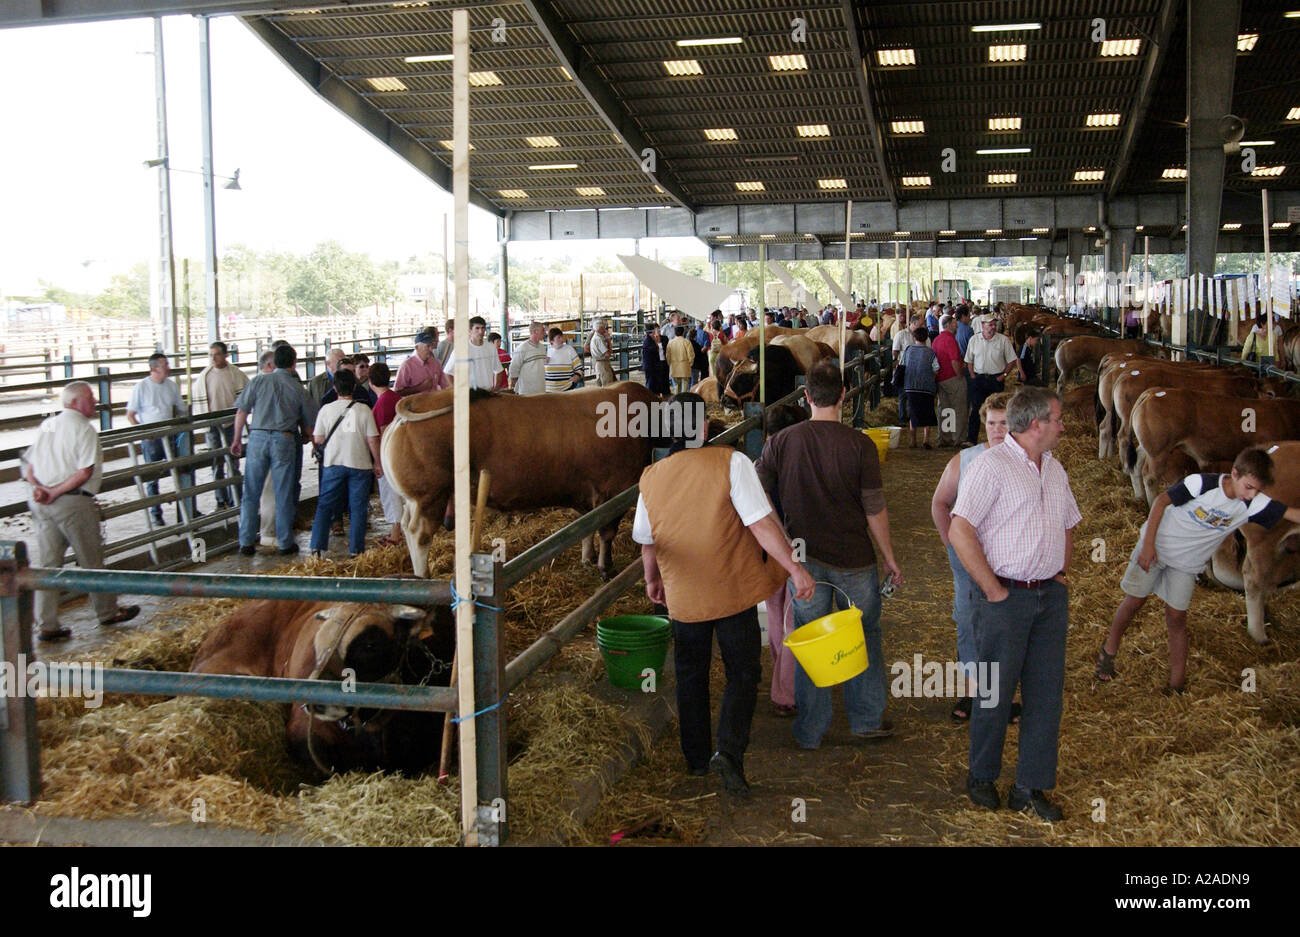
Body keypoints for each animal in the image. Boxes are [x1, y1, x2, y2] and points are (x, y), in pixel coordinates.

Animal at [379, 382, 660, 577]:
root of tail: (416, 401)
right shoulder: (613, 491)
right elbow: (606, 532)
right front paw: (606, 567)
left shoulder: (587, 497)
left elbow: (586, 528)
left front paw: (588, 559)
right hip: (429, 497)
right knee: (418, 534)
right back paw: (423, 576)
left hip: (414, 500)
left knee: (406, 525)